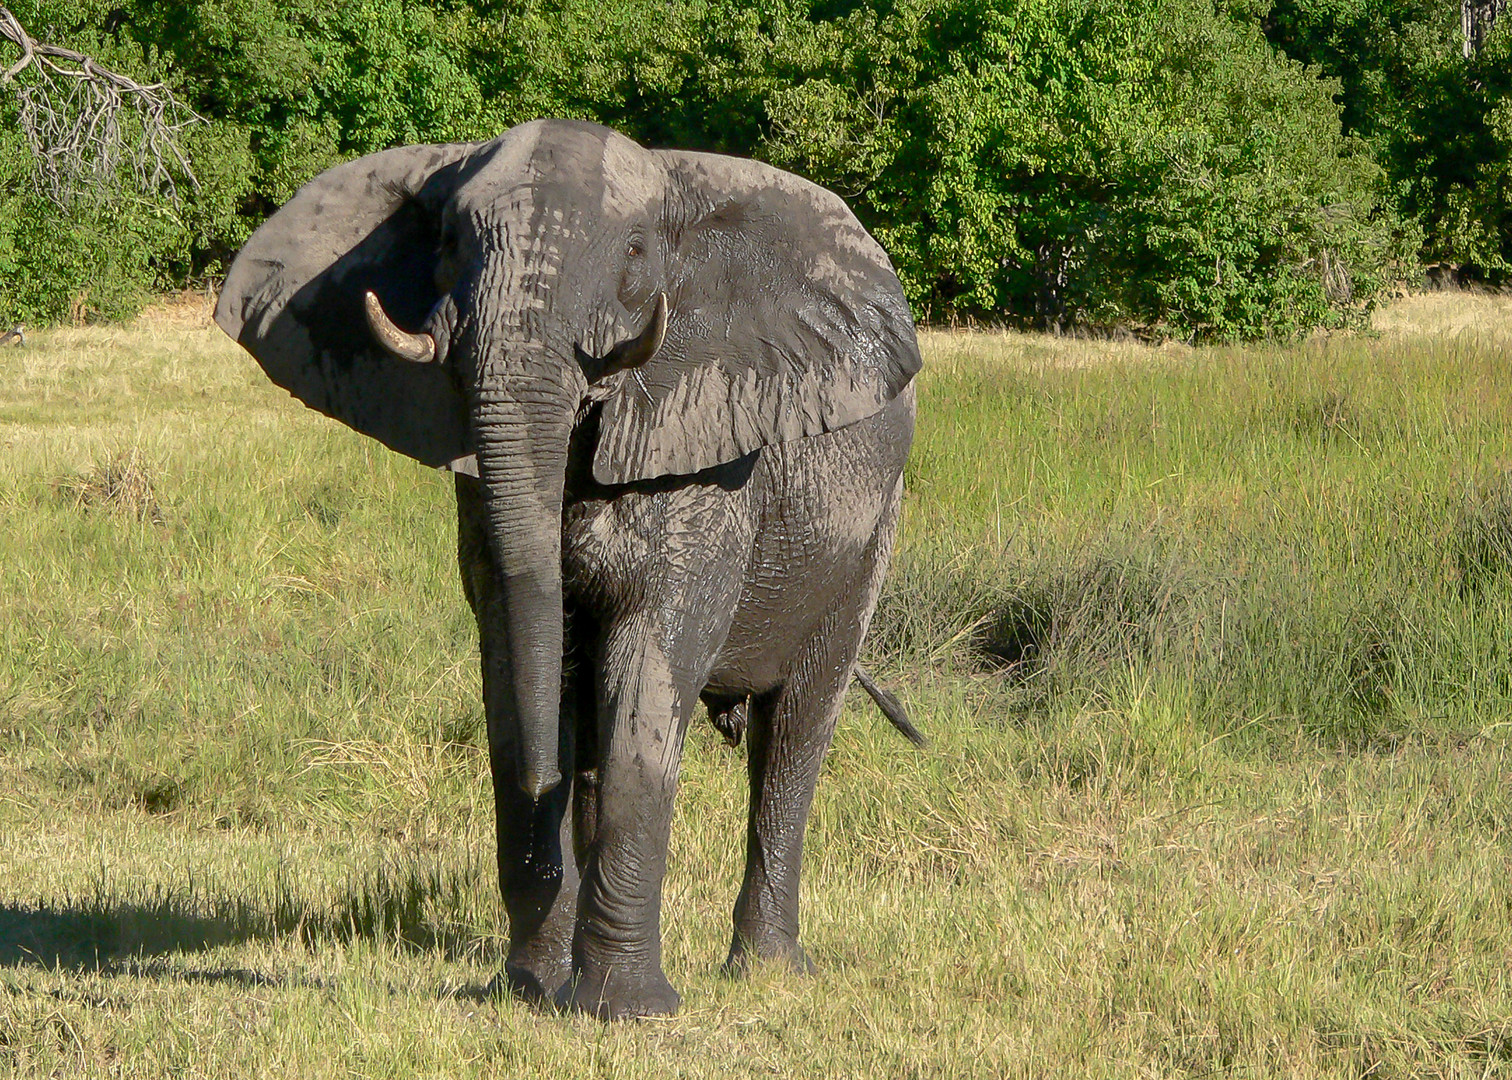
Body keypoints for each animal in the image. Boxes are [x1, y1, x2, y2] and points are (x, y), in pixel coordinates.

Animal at [213, 120, 919, 1016]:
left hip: (870, 531)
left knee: (796, 730)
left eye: (635, 251)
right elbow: (517, 667)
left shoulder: (708, 444)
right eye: (449, 242)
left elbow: (648, 672)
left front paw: (627, 1010)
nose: (532, 976)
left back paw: (765, 972)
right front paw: (531, 989)